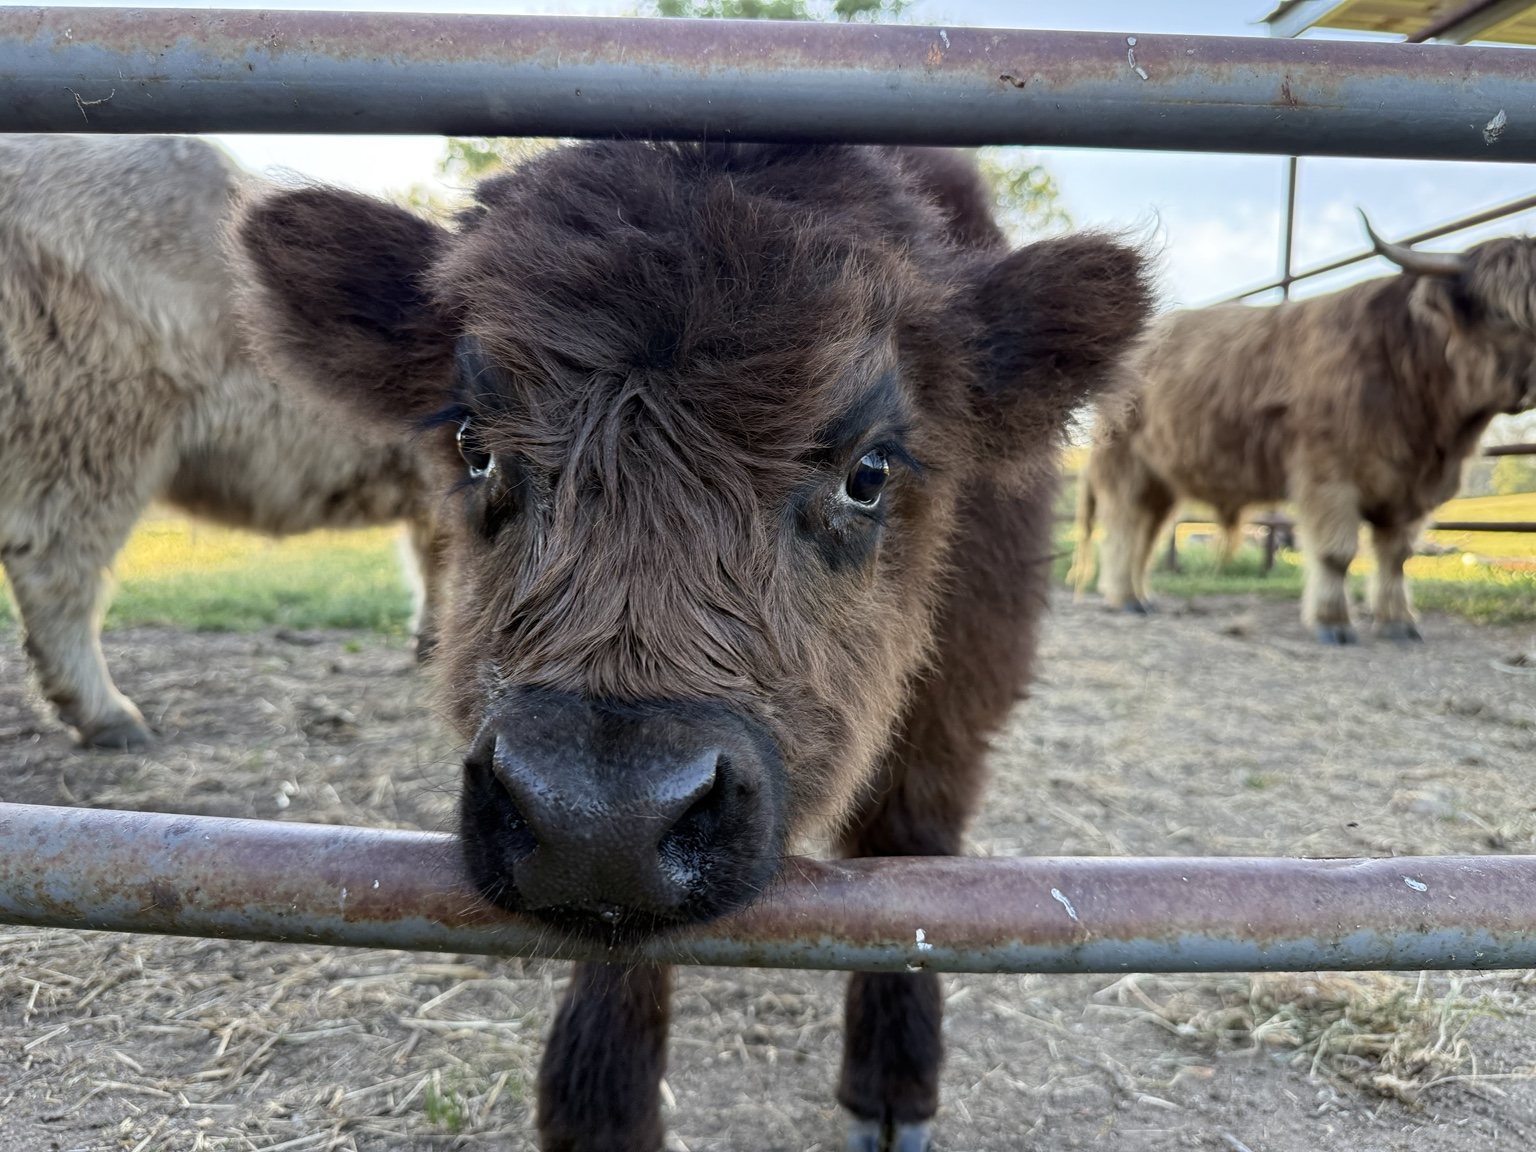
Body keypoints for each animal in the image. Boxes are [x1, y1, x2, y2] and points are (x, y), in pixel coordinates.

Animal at [235, 141, 1152, 1152]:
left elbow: (913, 863)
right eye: (475, 444)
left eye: (868, 469)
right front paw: (601, 1113)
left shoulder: (961, 697)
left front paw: (893, 1088)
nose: (601, 814)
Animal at [1070, 215, 1536, 643]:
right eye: (1503, 314)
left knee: (1146, 535)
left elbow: (1396, 556)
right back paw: (1124, 598)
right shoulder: (1327, 472)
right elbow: (1337, 552)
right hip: (1125, 466)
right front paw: (1333, 622)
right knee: (1123, 530)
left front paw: (1398, 623)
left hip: (1160, 481)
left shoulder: (1410, 490)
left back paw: (1141, 596)